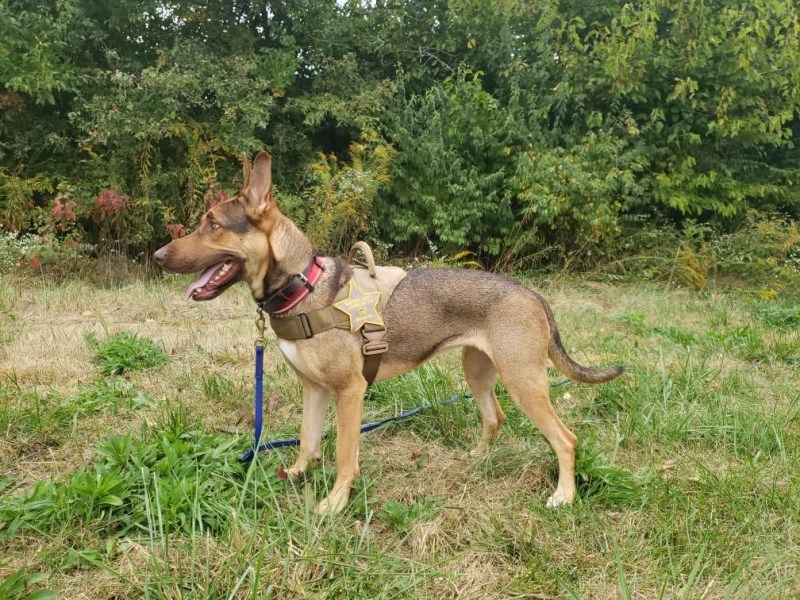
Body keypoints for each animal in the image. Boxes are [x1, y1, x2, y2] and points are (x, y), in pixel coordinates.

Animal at [153, 152, 620, 512]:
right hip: (478, 372)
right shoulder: (314, 389)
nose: (158, 255)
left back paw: (564, 495)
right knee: (495, 417)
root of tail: (533, 293)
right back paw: (475, 459)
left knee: (566, 439)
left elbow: (344, 455)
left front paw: (335, 502)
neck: (303, 285)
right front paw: (297, 474)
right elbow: (306, 440)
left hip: (524, 381)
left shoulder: (349, 391)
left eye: (213, 223)